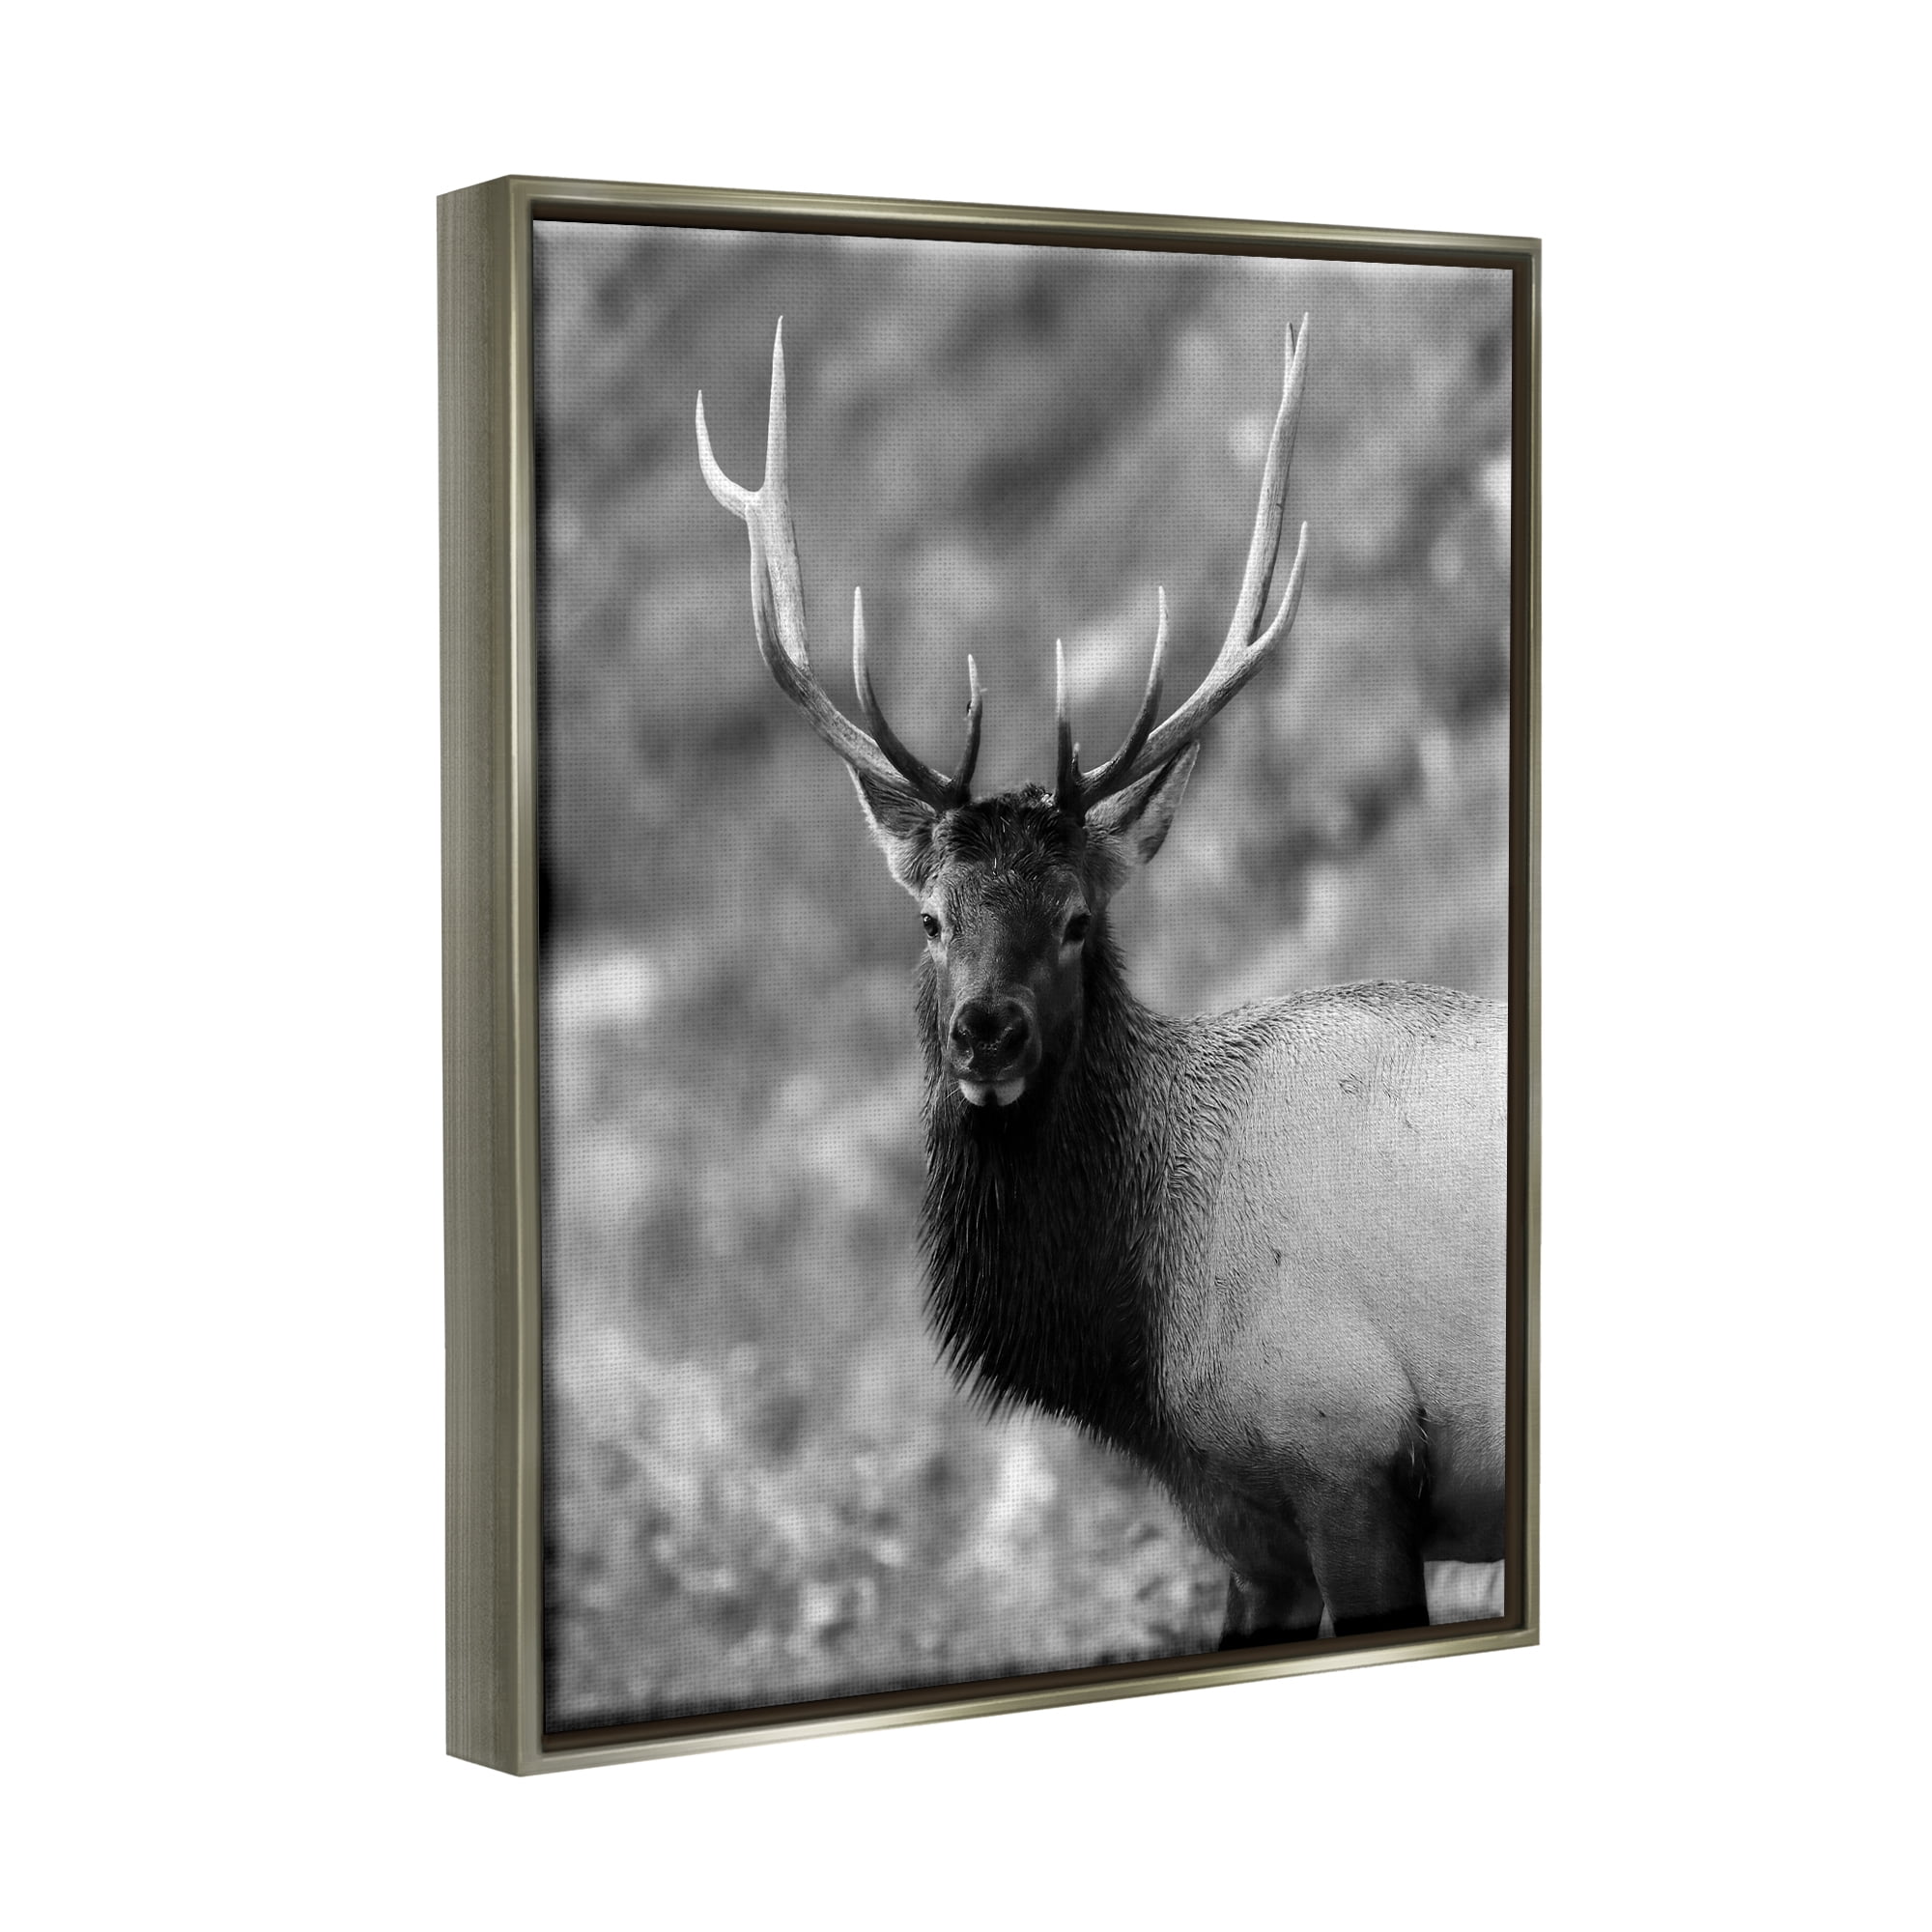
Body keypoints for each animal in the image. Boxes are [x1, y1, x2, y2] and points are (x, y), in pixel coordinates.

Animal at [695, 318, 1507, 1645]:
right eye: (930, 917)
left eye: (1078, 919)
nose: (986, 1034)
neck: (1137, 1343)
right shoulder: (1243, 1527)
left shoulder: (1348, 1461)